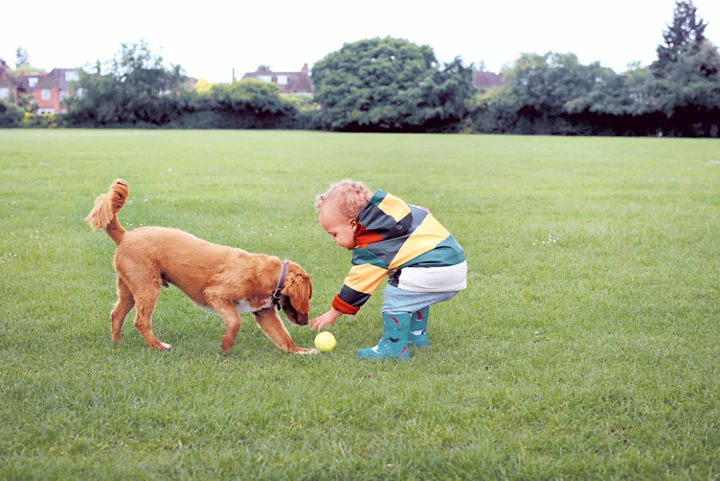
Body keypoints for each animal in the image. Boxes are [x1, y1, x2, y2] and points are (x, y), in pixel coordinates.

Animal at [86, 179, 316, 352]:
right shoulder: (216, 294)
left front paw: (302, 351)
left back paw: (117, 342)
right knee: (141, 321)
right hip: (147, 286)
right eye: (309, 296)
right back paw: (159, 346)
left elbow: (283, 337)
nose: (306, 323)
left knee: (116, 314)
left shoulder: (265, 313)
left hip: (129, 288)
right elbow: (235, 322)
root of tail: (125, 235)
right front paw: (226, 345)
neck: (272, 275)